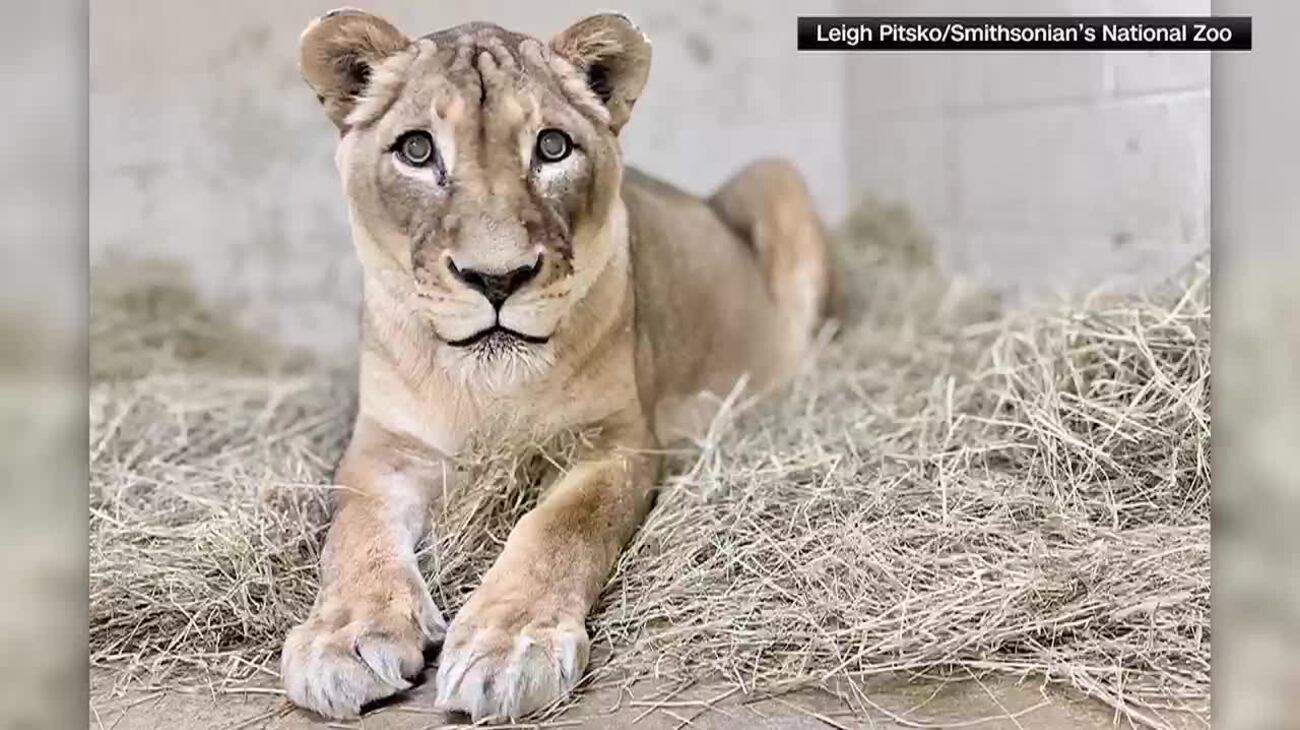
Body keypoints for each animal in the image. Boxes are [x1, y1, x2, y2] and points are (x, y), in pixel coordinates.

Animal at [281, 9, 838, 722]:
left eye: (550, 148)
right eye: (417, 151)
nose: (497, 278)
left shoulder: (617, 441)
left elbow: (560, 527)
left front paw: (509, 645)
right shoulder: (386, 444)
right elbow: (354, 527)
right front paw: (346, 636)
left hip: (775, 176)